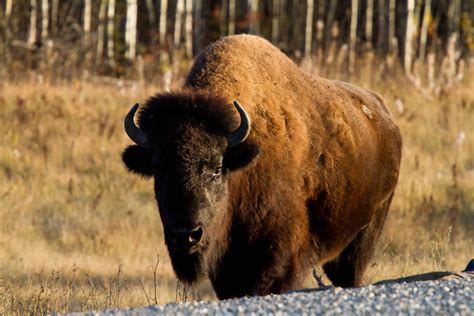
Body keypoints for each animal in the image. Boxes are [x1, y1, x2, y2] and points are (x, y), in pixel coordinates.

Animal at [121, 34, 400, 298]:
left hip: (363, 236)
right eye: (158, 169)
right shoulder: (227, 270)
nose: (185, 234)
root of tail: (384, 115)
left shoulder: (278, 260)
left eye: (217, 169)